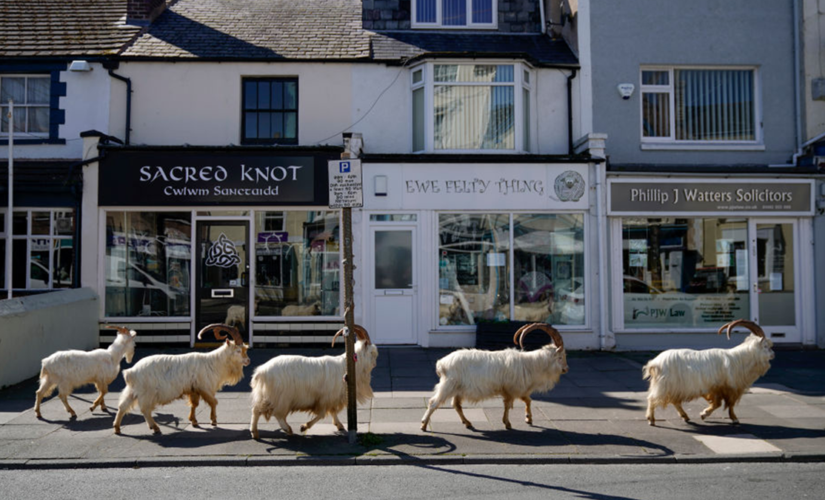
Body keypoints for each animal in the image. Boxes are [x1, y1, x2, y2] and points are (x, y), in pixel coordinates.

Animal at [112, 324, 249, 434]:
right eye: (238, 350)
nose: (248, 361)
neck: (213, 362)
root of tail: (131, 372)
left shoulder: (194, 389)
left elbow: (194, 404)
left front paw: (194, 421)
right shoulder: (205, 387)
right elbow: (214, 402)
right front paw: (213, 421)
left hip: (132, 391)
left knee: (122, 406)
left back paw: (117, 428)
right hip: (147, 393)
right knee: (145, 409)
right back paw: (155, 428)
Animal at [249, 324, 378, 438]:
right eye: (372, 352)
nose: (375, 364)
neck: (348, 366)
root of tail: (261, 371)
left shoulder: (331, 398)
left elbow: (333, 412)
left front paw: (339, 425)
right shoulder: (324, 399)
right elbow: (321, 414)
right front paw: (304, 427)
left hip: (267, 396)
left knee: (256, 409)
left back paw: (255, 433)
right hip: (282, 398)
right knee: (276, 414)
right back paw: (287, 429)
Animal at [418, 324, 568, 430]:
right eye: (560, 357)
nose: (566, 369)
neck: (530, 364)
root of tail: (441, 364)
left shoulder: (513, 390)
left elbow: (526, 400)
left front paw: (528, 419)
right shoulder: (512, 389)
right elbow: (510, 404)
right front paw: (508, 423)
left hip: (458, 389)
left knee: (456, 405)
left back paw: (467, 423)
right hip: (448, 385)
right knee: (433, 403)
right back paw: (424, 425)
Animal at [644, 320, 772, 426]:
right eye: (765, 346)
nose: (773, 354)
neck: (738, 359)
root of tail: (655, 363)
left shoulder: (720, 388)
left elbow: (721, 404)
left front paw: (705, 414)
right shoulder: (726, 387)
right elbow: (725, 404)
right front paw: (732, 418)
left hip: (674, 387)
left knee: (675, 401)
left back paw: (685, 416)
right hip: (665, 386)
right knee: (652, 399)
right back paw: (651, 420)